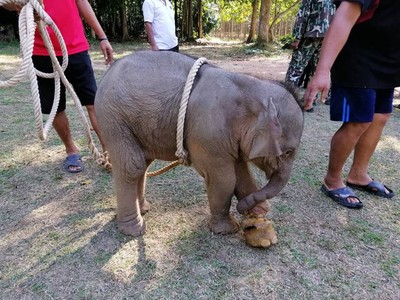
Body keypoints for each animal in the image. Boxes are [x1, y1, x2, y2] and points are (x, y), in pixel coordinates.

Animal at [96, 51, 304, 247]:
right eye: (288, 152)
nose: (245, 209)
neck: (250, 86)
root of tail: (108, 72)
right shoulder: (208, 135)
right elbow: (223, 178)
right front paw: (228, 229)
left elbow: (242, 173)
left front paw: (259, 219)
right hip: (114, 120)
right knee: (132, 166)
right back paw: (134, 229)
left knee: (142, 165)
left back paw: (144, 209)